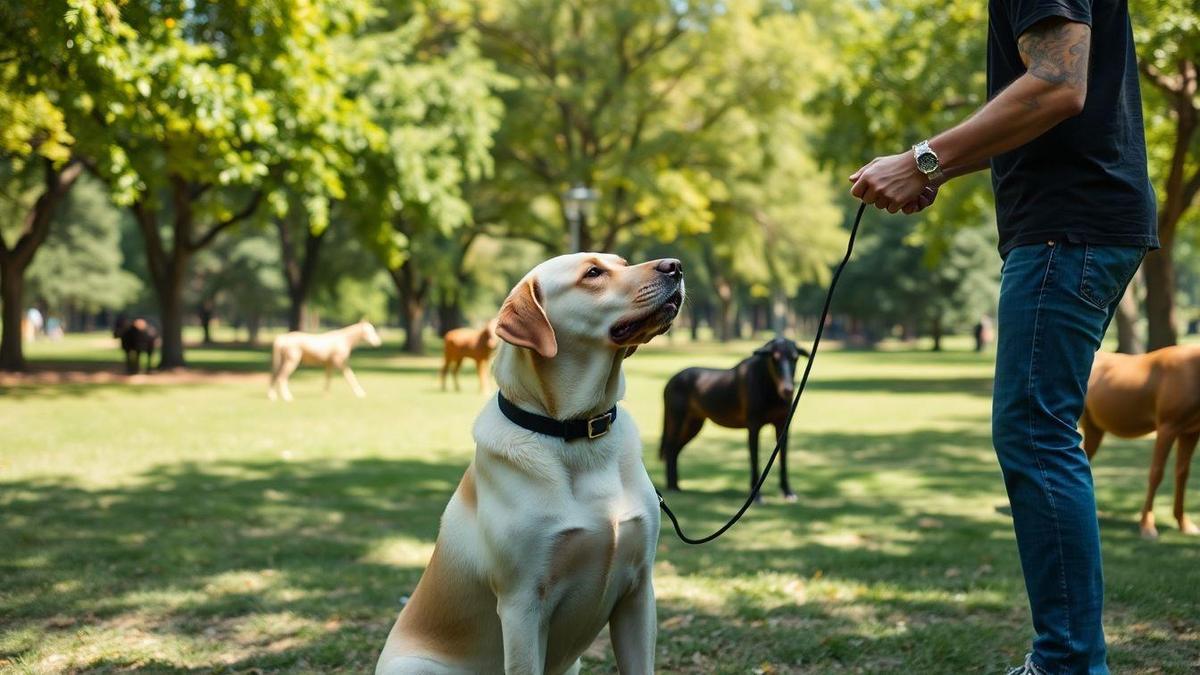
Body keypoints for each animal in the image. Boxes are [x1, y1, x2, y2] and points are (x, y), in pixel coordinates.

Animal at [374, 252, 686, 672]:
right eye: (593, 273)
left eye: (622, 262)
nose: (676, 265)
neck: (576, 431)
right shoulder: (521, 606)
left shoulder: (638, 593)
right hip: (414, 664)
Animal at [662, 336, 811, 499]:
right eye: (774, 358)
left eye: (795, 358)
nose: (788, 390)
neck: (770, 389)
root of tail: (671, 380)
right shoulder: (753, 426)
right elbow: (754, 458)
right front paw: (756, 495)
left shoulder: (783, 425)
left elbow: (783, 459)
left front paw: (787, 491)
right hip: (677, 420)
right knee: (670, 448)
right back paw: (672, 486)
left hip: (693, 425)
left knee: (675, 450)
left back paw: (675, 484)